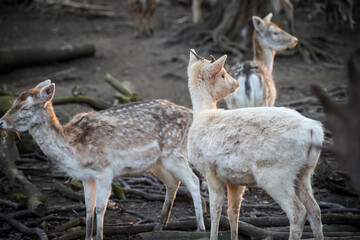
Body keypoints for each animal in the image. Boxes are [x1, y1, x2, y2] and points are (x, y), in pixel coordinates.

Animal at [0, 80, 205, 240]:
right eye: (13, 102)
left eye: (25, 107)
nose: (1, 121)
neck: (75, 151)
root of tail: (191, 114)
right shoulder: (86, 176)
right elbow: (88, 207)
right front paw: (87, 236)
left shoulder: (105, 170)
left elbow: (100, 208)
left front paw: (99, 236)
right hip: (157, 163)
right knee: (173, 183)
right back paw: (159, 225)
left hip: (174, 153)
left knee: (194, 181)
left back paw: (200, 228)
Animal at [187, 48, 324, 240]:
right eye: (223, 74)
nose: (236, 83)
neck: (201, 115)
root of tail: (315, 130)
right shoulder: (234, 180)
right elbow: (232, 212)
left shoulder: (210, 171)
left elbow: (215, 210)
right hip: (304, 173)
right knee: (315, 209)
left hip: (275, 174)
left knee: (298, 211)